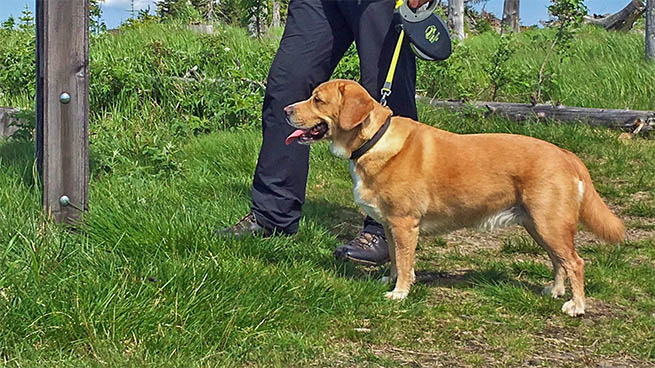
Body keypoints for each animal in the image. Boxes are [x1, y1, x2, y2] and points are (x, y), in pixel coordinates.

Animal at [284, 80, 624, 316]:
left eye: (318, 99)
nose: (286, 110)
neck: (375, 140)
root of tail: (566, 153)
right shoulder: (392, 227)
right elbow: (395, 259)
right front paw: (391, 283)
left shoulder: (405, 224)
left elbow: (404, 263)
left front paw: (400, 293)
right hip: (539, 226)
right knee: (559, 262)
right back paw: (554, 291)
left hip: (550, 224)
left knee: (576, 262)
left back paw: (576, 306)